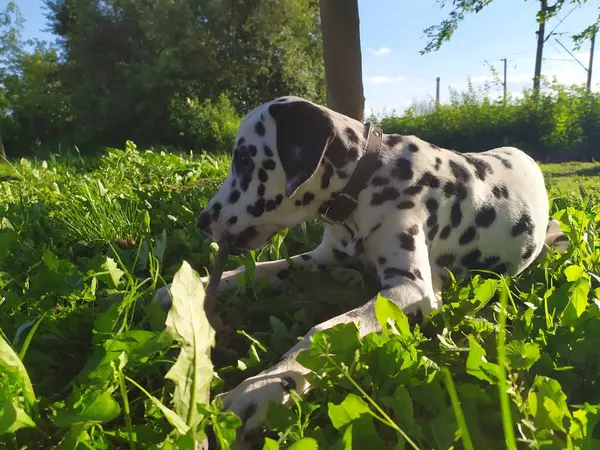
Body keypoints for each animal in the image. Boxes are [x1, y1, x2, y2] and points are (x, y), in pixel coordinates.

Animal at [154, 95, 568, 446]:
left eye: (243, 159)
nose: (203, 221)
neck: (369, 181)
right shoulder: (320, 257)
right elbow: (257, 270)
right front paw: (185, 288)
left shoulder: (410, 289)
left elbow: (324, 330)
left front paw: (258, 391)